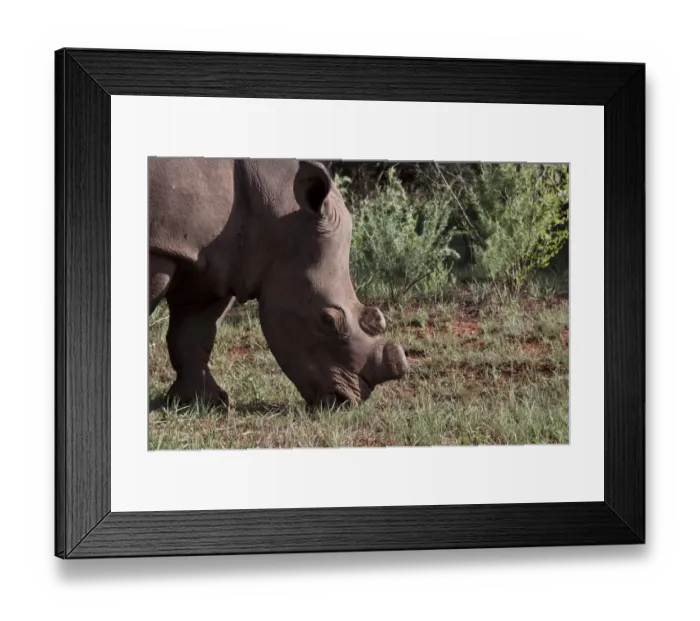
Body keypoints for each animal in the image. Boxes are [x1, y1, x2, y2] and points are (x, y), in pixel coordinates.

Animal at [148, 157, 409, 409]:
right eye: (327, 320)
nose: (349, 401)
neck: (274, 220)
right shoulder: (162, 246)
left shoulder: (218, 262)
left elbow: (194, 333)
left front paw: (203, 402)